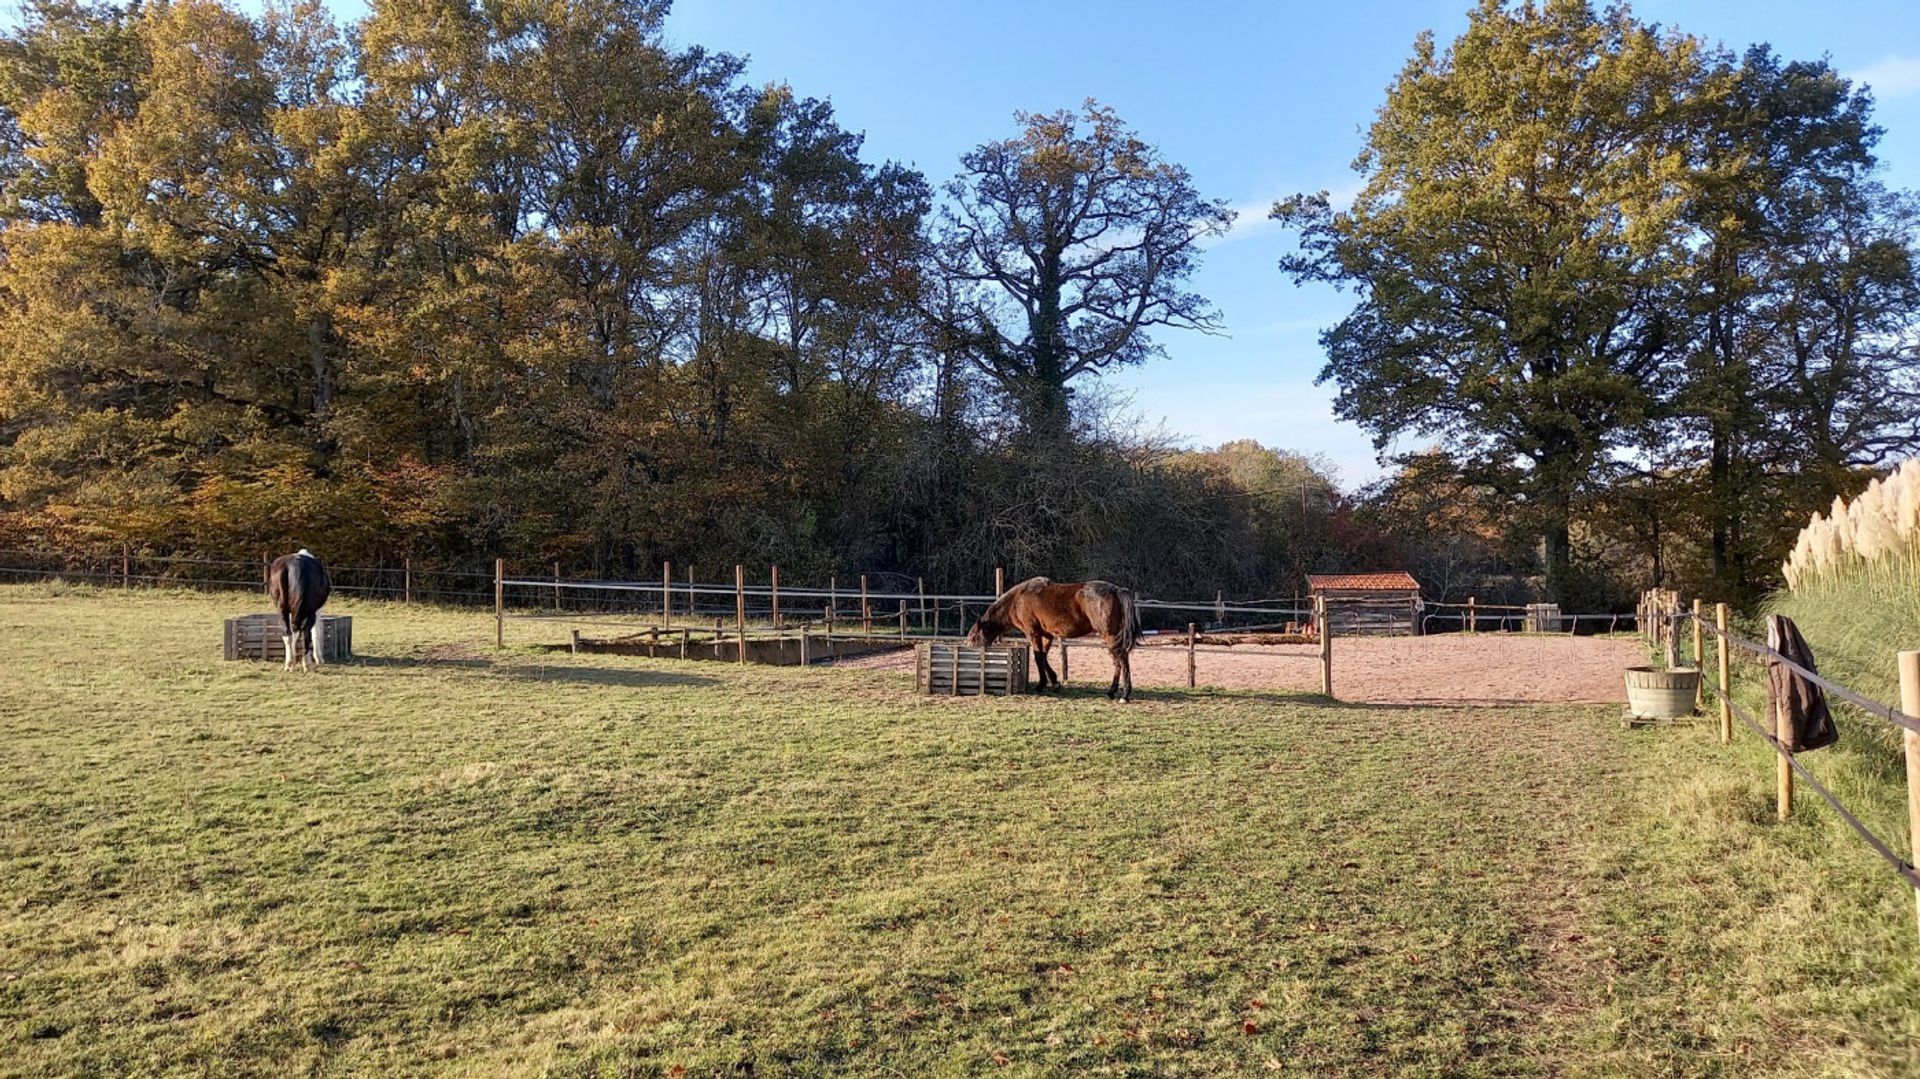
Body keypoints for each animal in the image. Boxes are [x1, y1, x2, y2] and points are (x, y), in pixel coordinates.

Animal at [960, 575, 1136, 702]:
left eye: (974, 637)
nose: (967, 646)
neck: (1019, 599)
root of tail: (1116, 590)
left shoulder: (1032, 632)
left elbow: (1038, 657)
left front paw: (1042, 684)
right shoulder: (1047, 635)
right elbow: (1043, 657)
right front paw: (1054, 682)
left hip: (1109, 636)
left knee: (1122, 660)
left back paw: (1125, 695)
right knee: (1118, 662)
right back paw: (1112, 691)